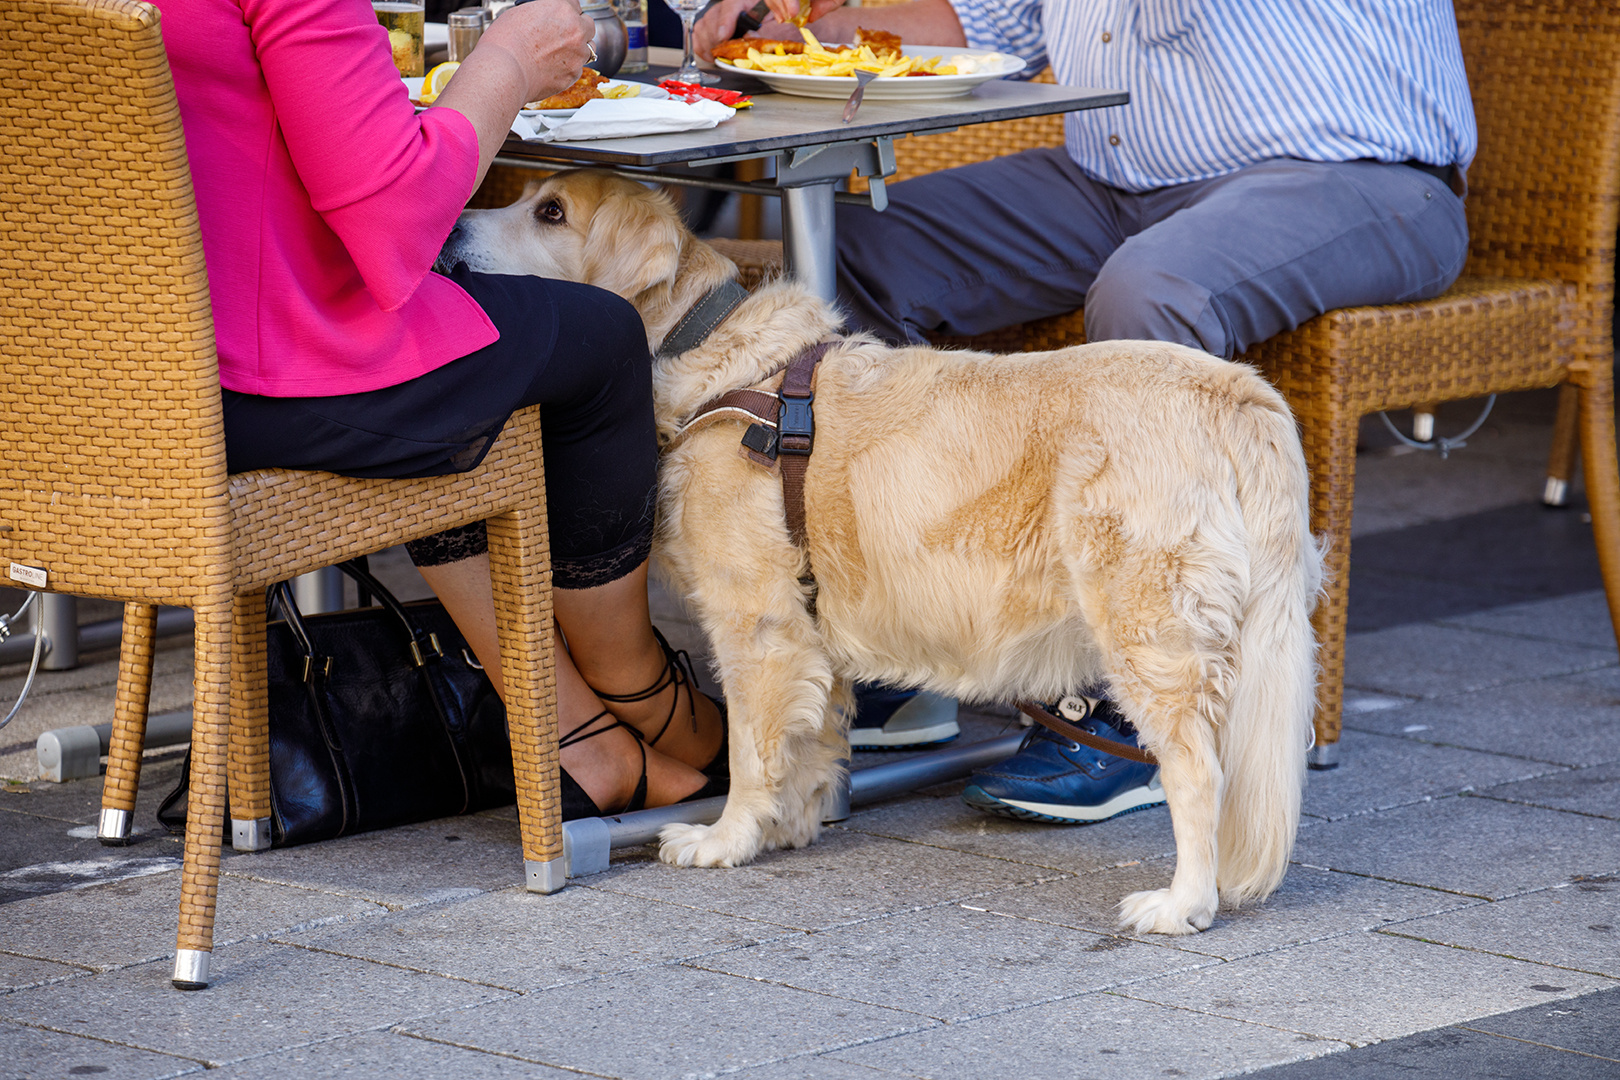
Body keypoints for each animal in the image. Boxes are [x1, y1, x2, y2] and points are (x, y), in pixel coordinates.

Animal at [440, 173, 1315, 932]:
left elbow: (751, 749)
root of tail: (1237, 392)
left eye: (550, 213)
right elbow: (810, 737)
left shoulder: (755, 623)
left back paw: (1183, 903)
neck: (709, 356)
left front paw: (727, 837)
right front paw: (789, 826)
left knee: (1198, 772)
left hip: (1146, 627)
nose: (445, 232)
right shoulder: (807, 628)